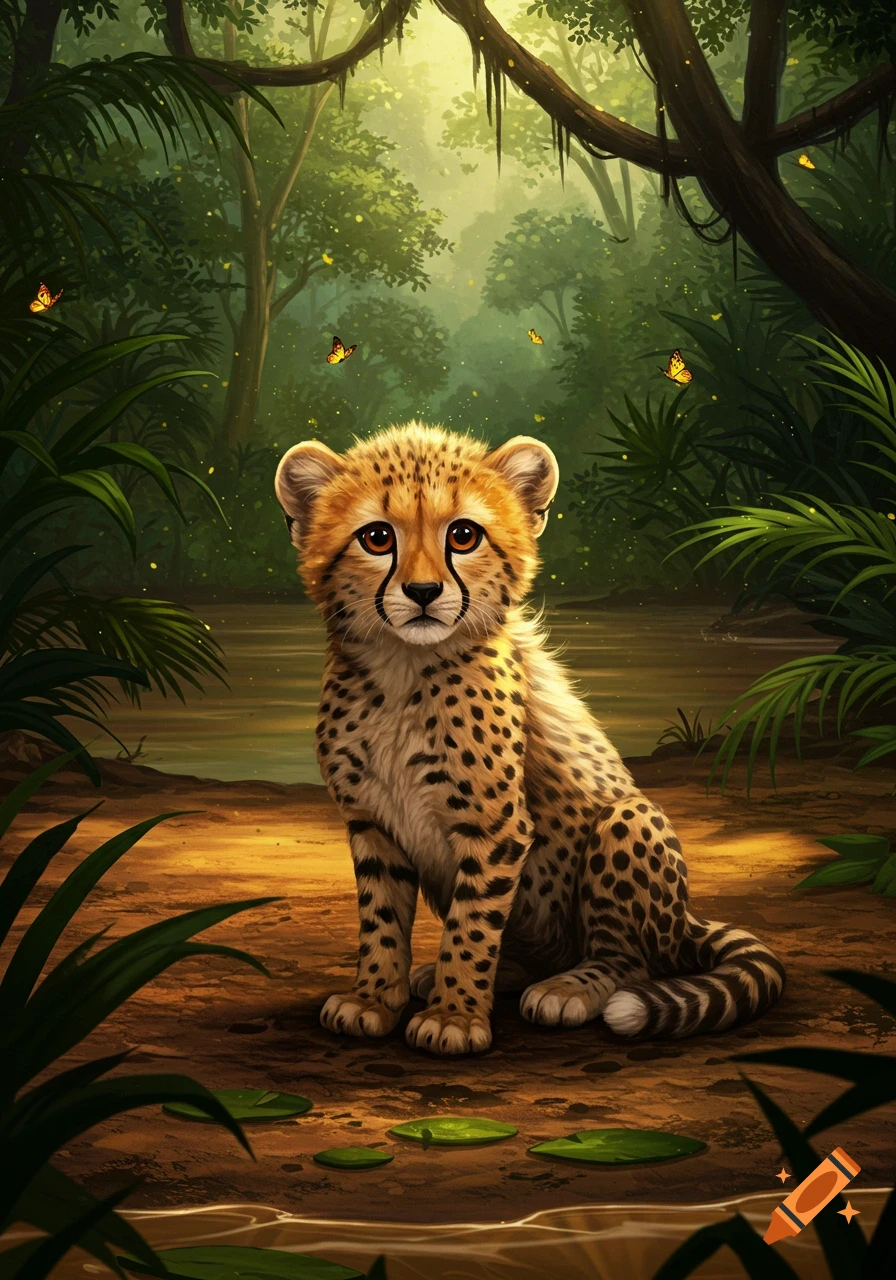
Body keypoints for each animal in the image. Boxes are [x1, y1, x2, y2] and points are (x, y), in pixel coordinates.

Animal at [274, 421, 785, 1056]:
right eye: (376, 537)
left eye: (463, 535)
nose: (423, 591)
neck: (402, 667)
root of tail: (683, 920)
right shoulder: (373, 822)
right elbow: (381, 922)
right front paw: (373, 999)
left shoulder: (495, 828)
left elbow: (472, 928)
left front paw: (454, 1017)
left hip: (628, 821)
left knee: (631, 959)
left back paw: (569, 988)